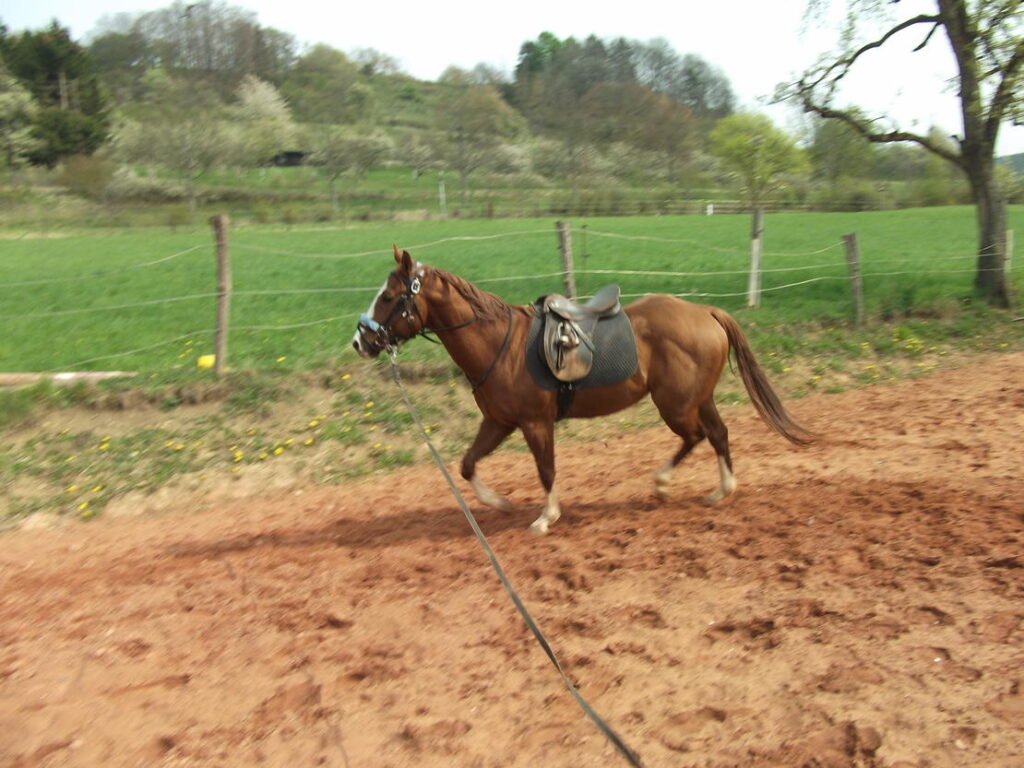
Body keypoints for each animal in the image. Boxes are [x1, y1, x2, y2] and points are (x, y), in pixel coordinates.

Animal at [353, 246, 811, 535]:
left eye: (389, 296)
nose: (360, 341)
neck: (501, 343)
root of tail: (706, 311)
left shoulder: (535, 423)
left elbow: (546, 469)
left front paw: (546, 517)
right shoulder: (499, 422)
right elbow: (467, 464)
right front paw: (500, 503)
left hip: (676, 405)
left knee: (698, 435)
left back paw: (666, 482)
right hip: (697, 399)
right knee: (717, 433)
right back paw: (720, 490)